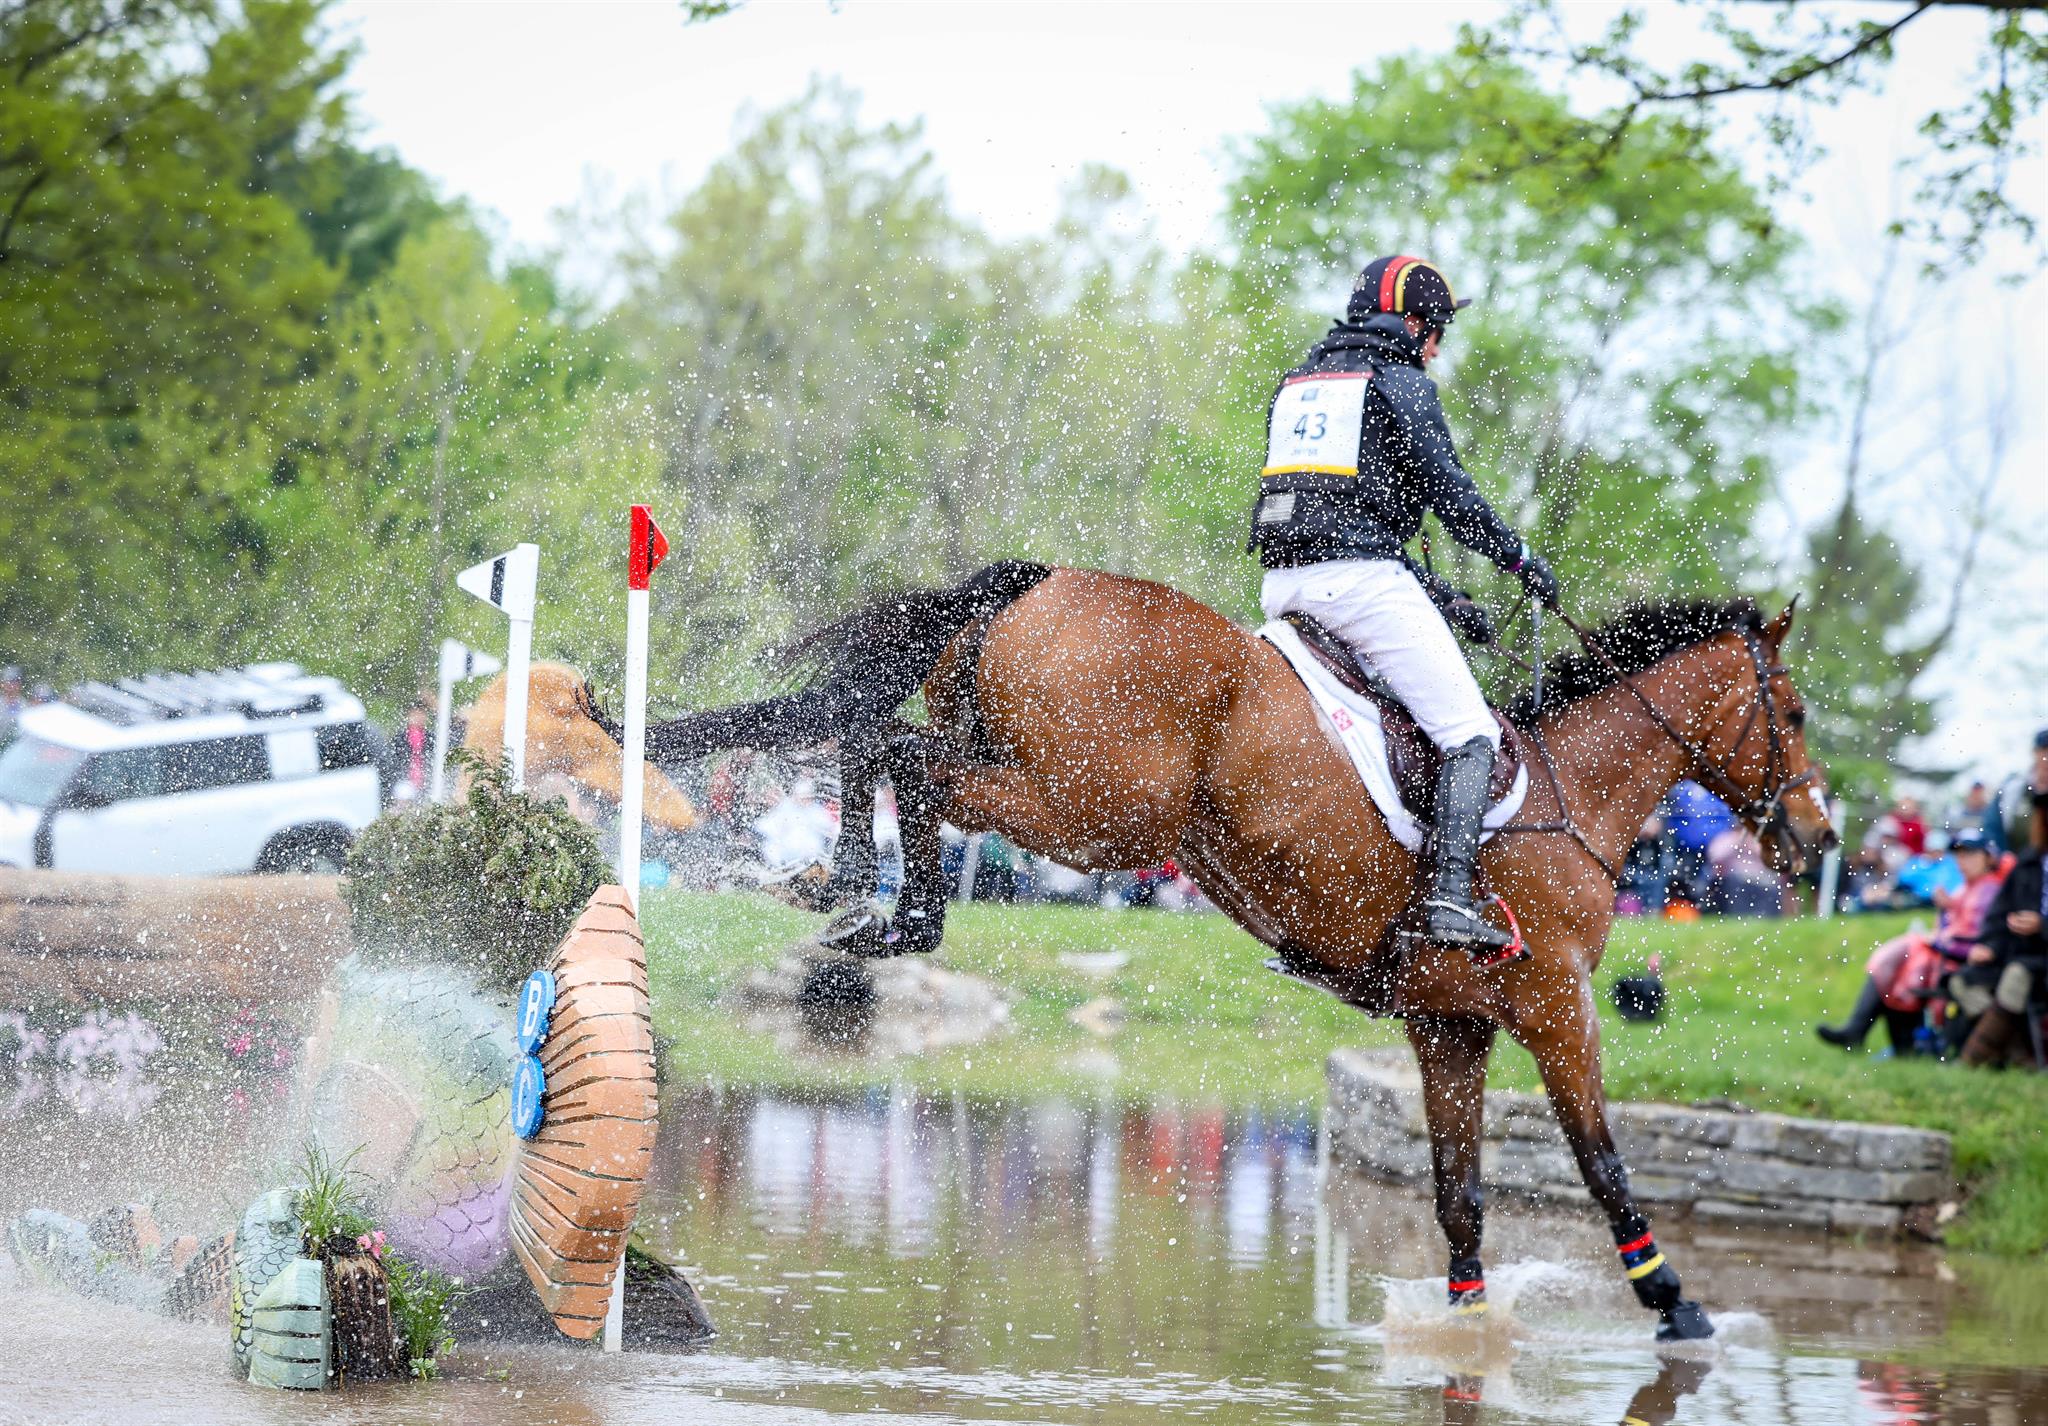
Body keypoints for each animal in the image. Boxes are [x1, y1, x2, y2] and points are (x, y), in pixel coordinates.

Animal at [598, 561, 1843, 1344]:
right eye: (1788, 713)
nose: (1818, 835)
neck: (1568, 796)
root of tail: (1040, 580)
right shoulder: (1553, 1007)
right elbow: (1603, 1164)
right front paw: (1673, 1303)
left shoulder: (1448, 1022)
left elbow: (1459, 1193)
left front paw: (1467, 1315)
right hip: (1092, 810)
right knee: (901, 756)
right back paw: (887, 907)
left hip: (1041, 776)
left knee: (880, 741)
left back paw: (857, 895)